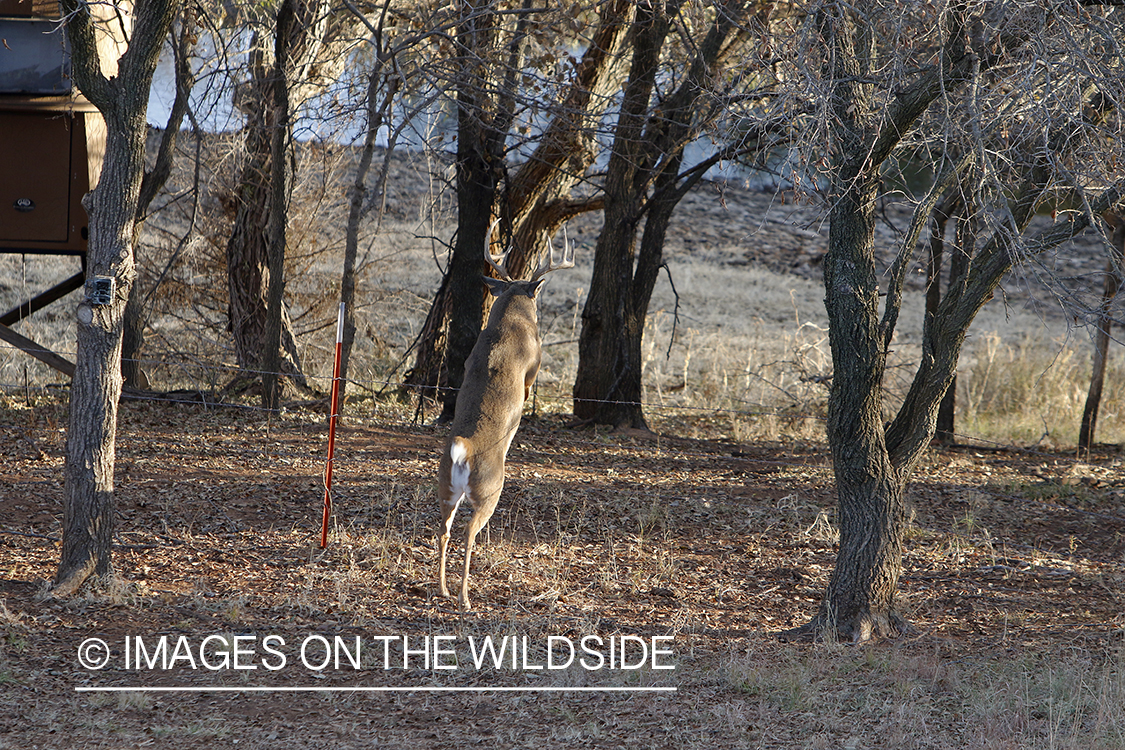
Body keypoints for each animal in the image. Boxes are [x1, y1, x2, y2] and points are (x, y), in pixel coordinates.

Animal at [436, 222, 576, 611]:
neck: (510, 320)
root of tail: (463, 449)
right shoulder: (533, 369)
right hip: (488, 491)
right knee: (467, 533)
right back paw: (465, 597)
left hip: (445, 487)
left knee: (443, 530)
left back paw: (443, 589)